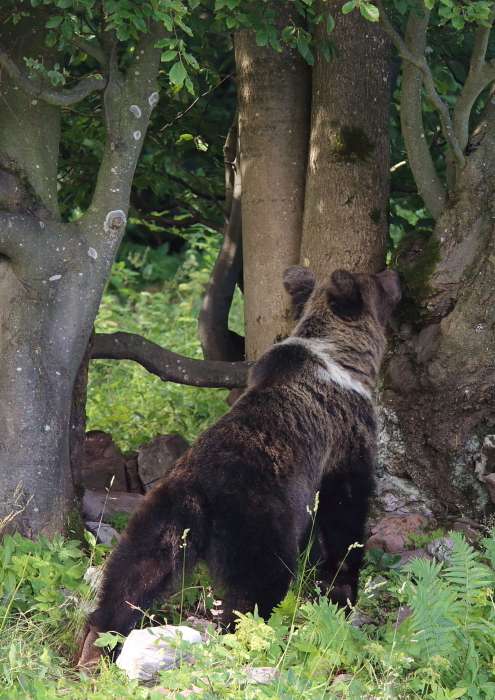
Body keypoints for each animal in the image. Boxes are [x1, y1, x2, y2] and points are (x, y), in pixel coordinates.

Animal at [78, 266, 404, 664]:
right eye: (377, 280)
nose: (395, 272)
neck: (346, 361)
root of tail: (197, 494)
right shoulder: (345, 438)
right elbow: (345, 510)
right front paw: (342, 585)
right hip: (254, 521)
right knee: (257, 587)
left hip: (160, 518)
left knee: (131, 574)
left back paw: (94, 647)